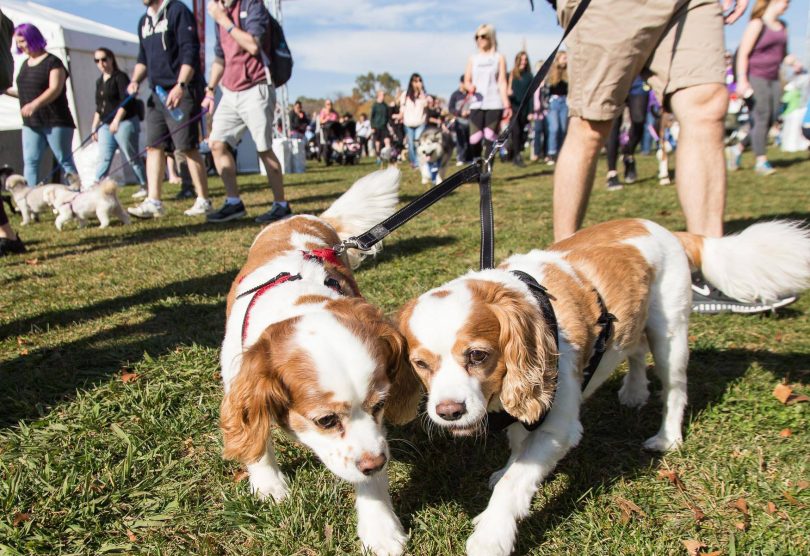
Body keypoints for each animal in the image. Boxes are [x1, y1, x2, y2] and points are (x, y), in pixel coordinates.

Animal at [218, 169, 414, 556]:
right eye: (325, 421)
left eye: (381, 405)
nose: (377, 463)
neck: (299, 301)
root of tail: (303, 217)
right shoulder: (238, 375)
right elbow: (255, 434)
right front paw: (267, 484)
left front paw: (380, 528)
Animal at [398, 218, 808, 556]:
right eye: (421, 365)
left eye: (478, 355)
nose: (448, 412)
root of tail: (666, 229)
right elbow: (519, 449)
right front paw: (509, 471)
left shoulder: (560, 425)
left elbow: (515, 482)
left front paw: (491, 536)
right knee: (635, 351)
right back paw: (634, 391)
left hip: (670, 334)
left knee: (676, 389)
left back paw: (667, 437)